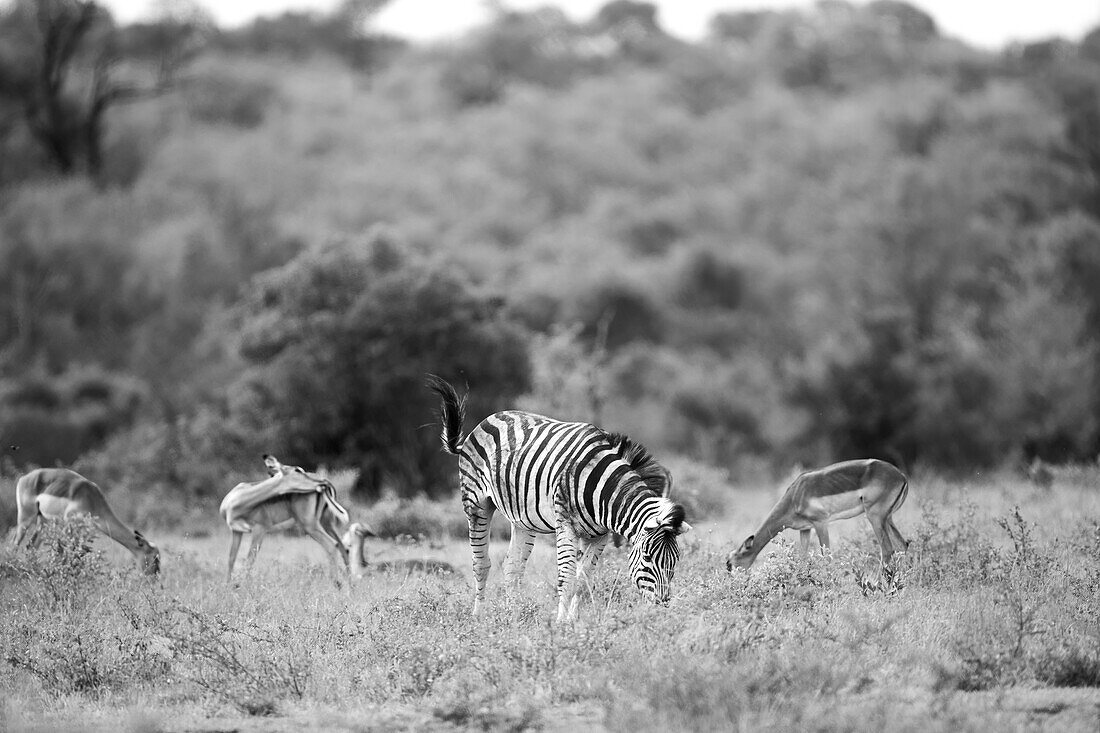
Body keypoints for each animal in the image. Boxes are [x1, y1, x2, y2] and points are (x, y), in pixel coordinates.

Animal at [426, 374, 690, 620]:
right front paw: (561, 623)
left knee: (512, 567)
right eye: (647, 556)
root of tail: (492, 417)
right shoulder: (566, 525)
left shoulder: (599, 535)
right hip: (475, 503)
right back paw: (478, 617)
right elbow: (567, 578)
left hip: (522, 519)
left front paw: (574, 623)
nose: (663, 604)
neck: (602, 490)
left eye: (676, 559)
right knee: (481, 563)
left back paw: (513, 616)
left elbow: (583, 582)